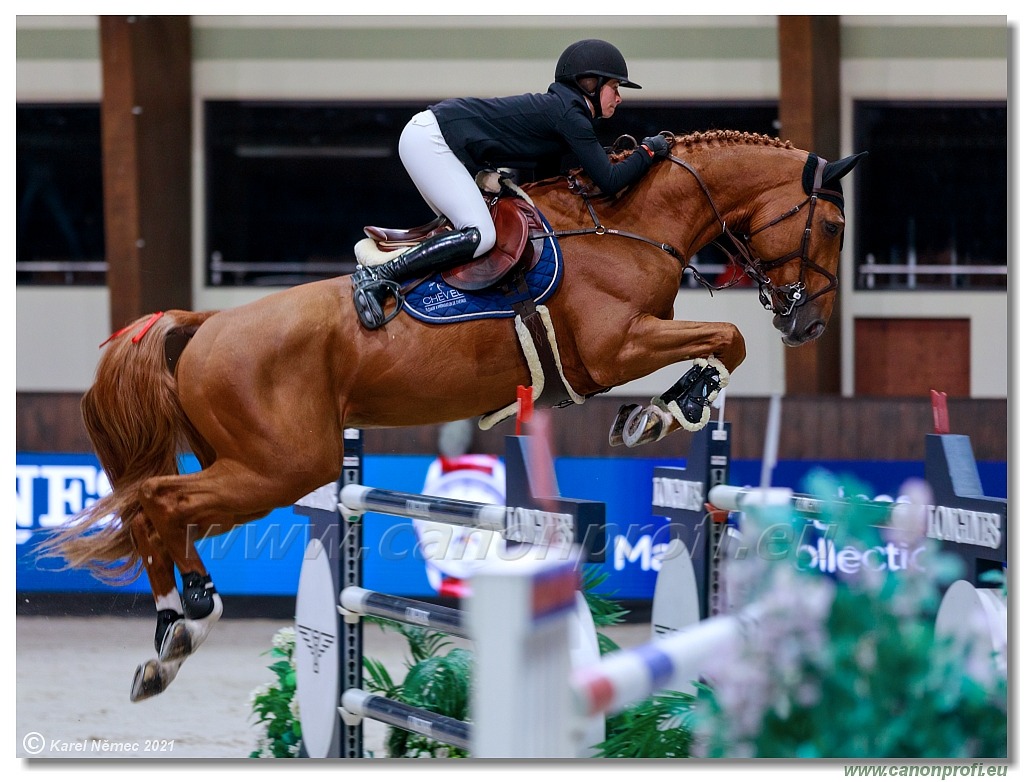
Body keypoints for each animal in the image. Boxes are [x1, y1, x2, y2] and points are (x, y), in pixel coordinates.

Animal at [44, 131, 868, 700]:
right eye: (832, 228)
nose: (809, 326)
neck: (632, 222)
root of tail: (203, 324)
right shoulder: (615, 350)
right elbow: (727, 337)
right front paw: (669, 411)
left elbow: (721, 340)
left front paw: (661, 413)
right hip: (280, 465)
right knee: (156, 500)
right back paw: (185, 621)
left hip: (260, 468)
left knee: (159, 510)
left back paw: (170, 632)